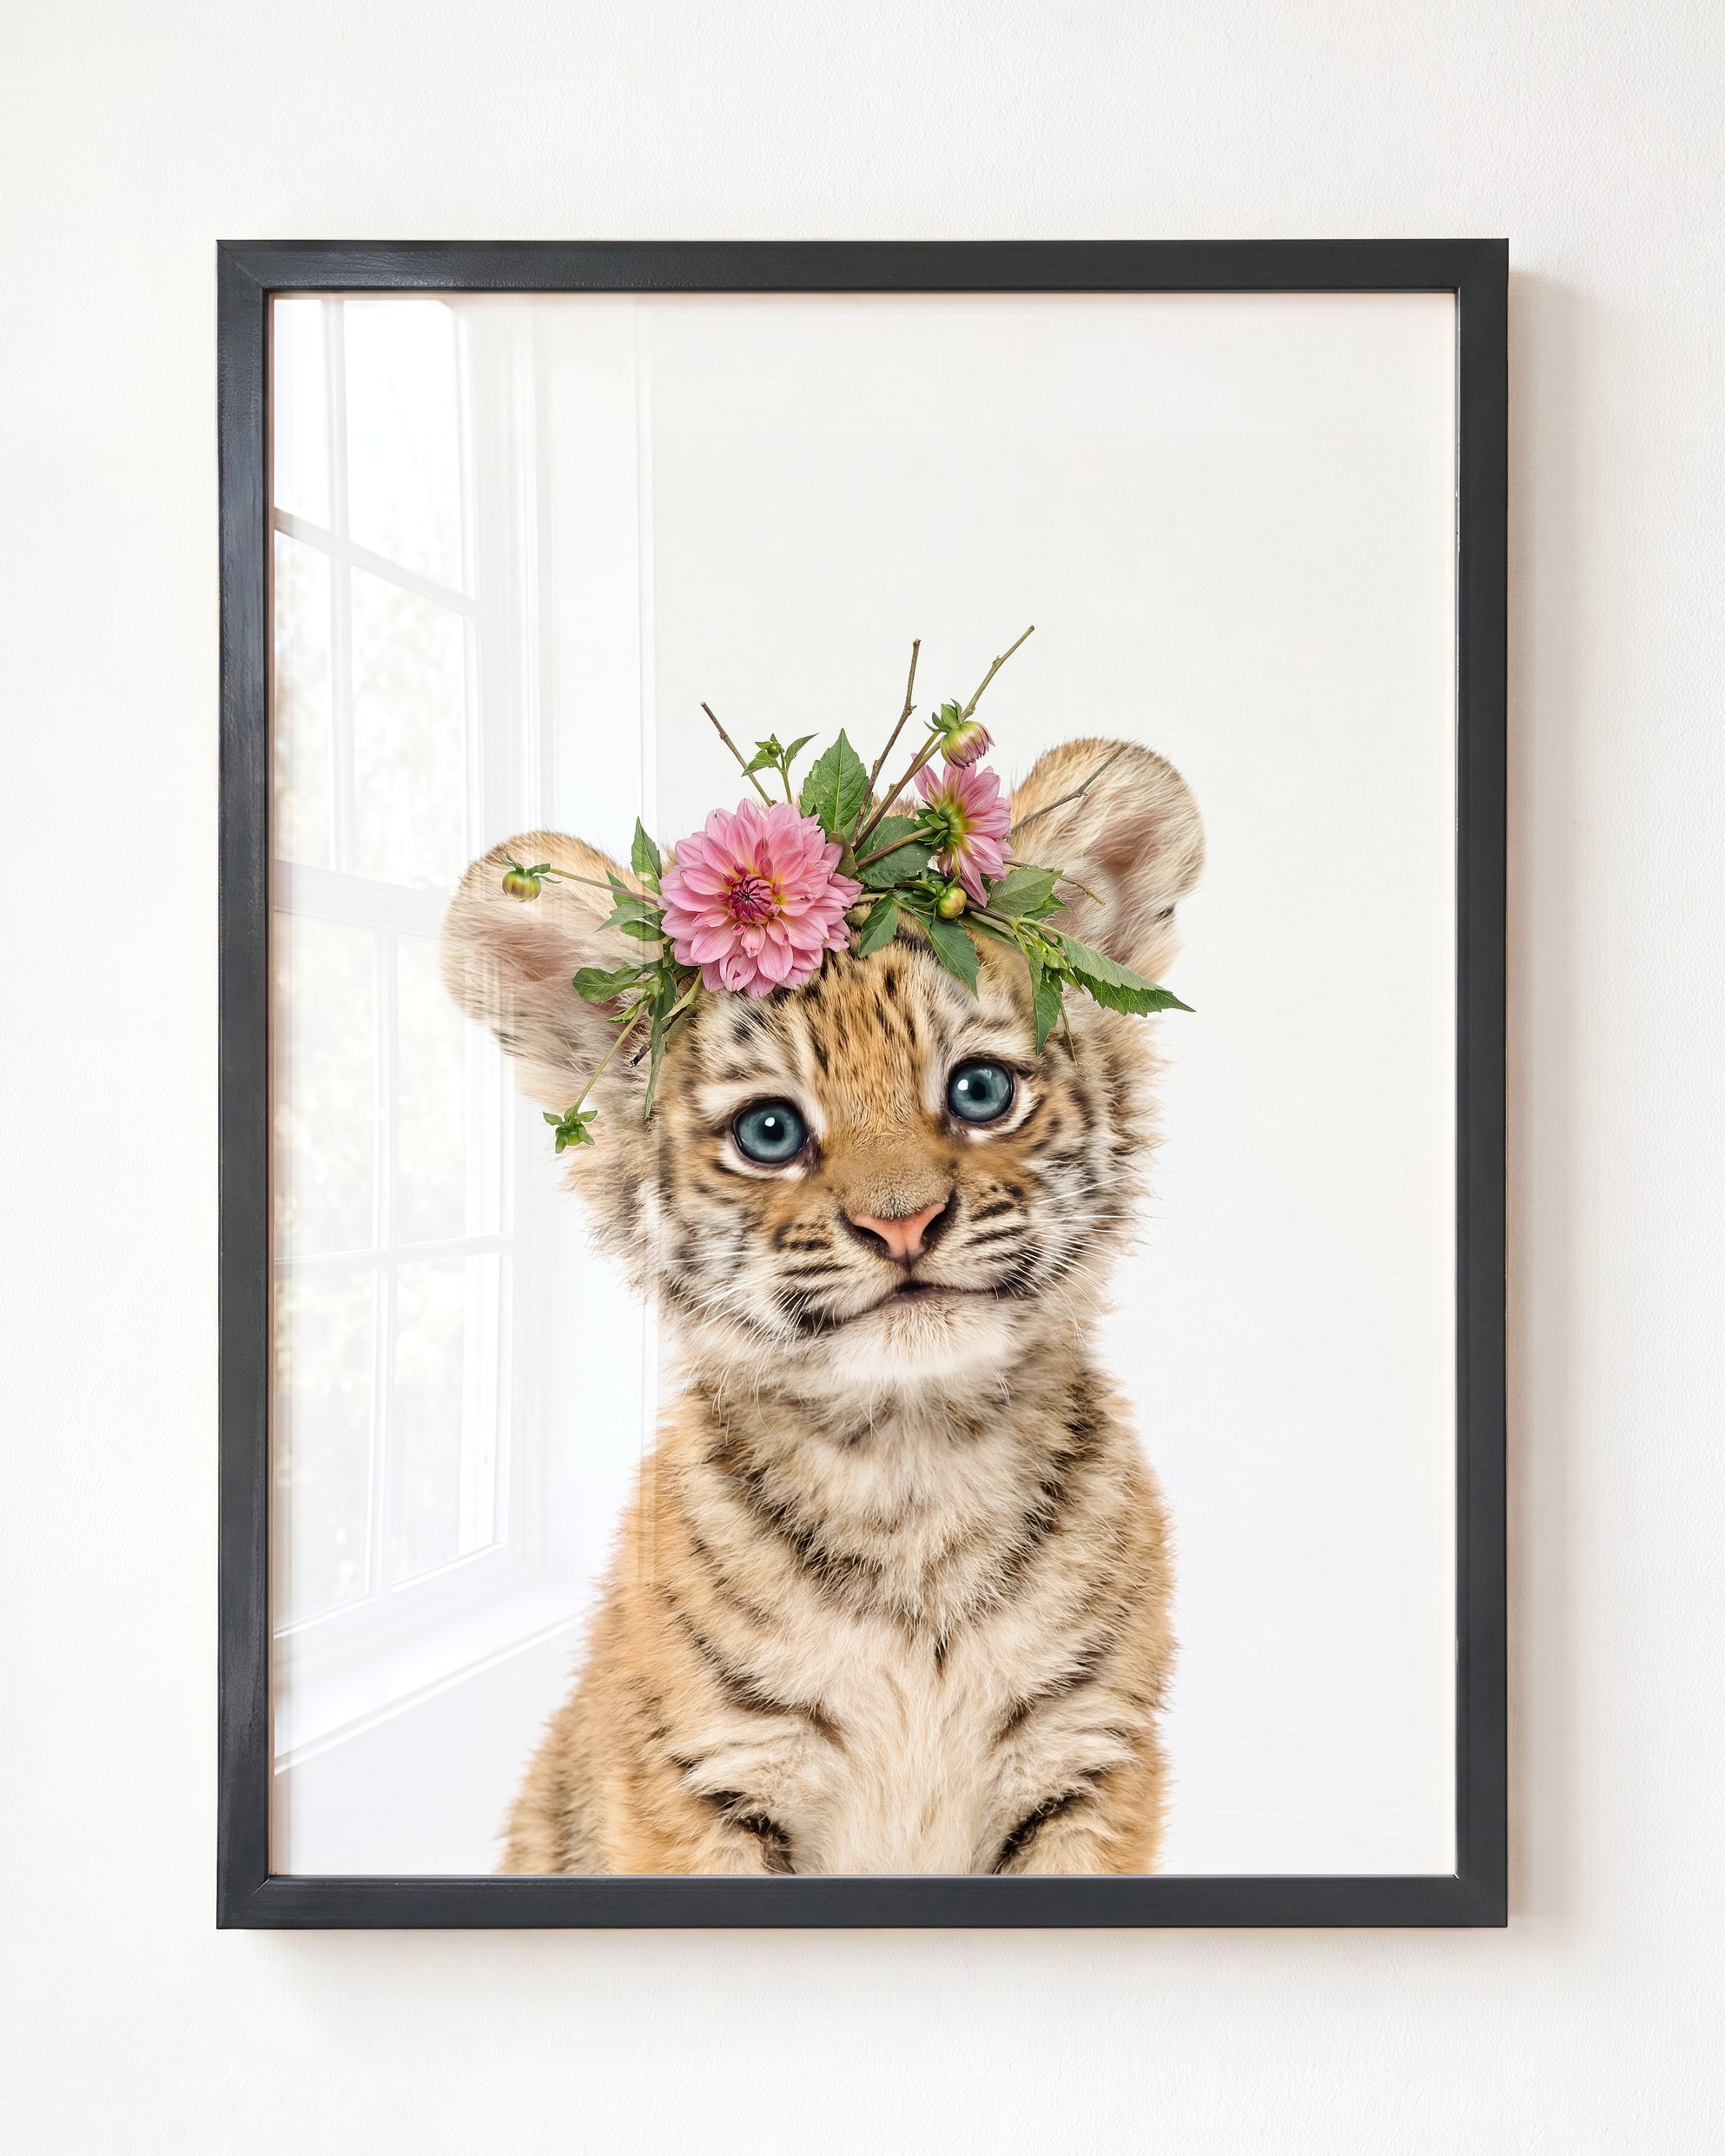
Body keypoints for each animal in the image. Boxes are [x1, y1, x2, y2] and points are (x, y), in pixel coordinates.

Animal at [440, 736, 1204, 1874]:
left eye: (980, 1091)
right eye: (770, 1131)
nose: (903, 1223)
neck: (914, 1467)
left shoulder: (1089, 1760)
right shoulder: (705, 1777)